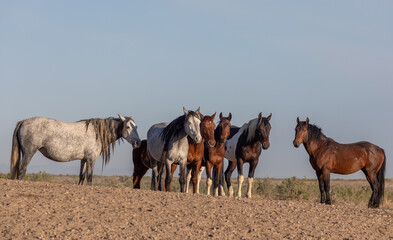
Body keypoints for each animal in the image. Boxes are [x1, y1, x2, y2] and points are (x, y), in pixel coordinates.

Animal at [10, 114, 141, 184]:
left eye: (136, 127)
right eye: (128, 127)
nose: (138, 143)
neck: (96, 133)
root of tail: (23, 122)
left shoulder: (83, 159)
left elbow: (81, 177)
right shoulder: (91, 159)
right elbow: (89, 177)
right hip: (29, 152)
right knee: (22, 169)